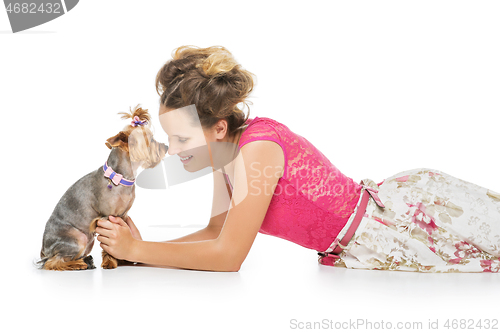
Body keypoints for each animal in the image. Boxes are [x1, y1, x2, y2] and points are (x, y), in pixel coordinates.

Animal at [39, 106, 168, 270]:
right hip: (78, 239)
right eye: (150, 139)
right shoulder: (108, 216)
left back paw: (85, 261)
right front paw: (109, 262)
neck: (119, 178)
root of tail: (44, 250)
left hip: (88, 241)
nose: (166, 146)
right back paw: (78, 264)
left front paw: (122, 258)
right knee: (52, 262)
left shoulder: (122, 216)